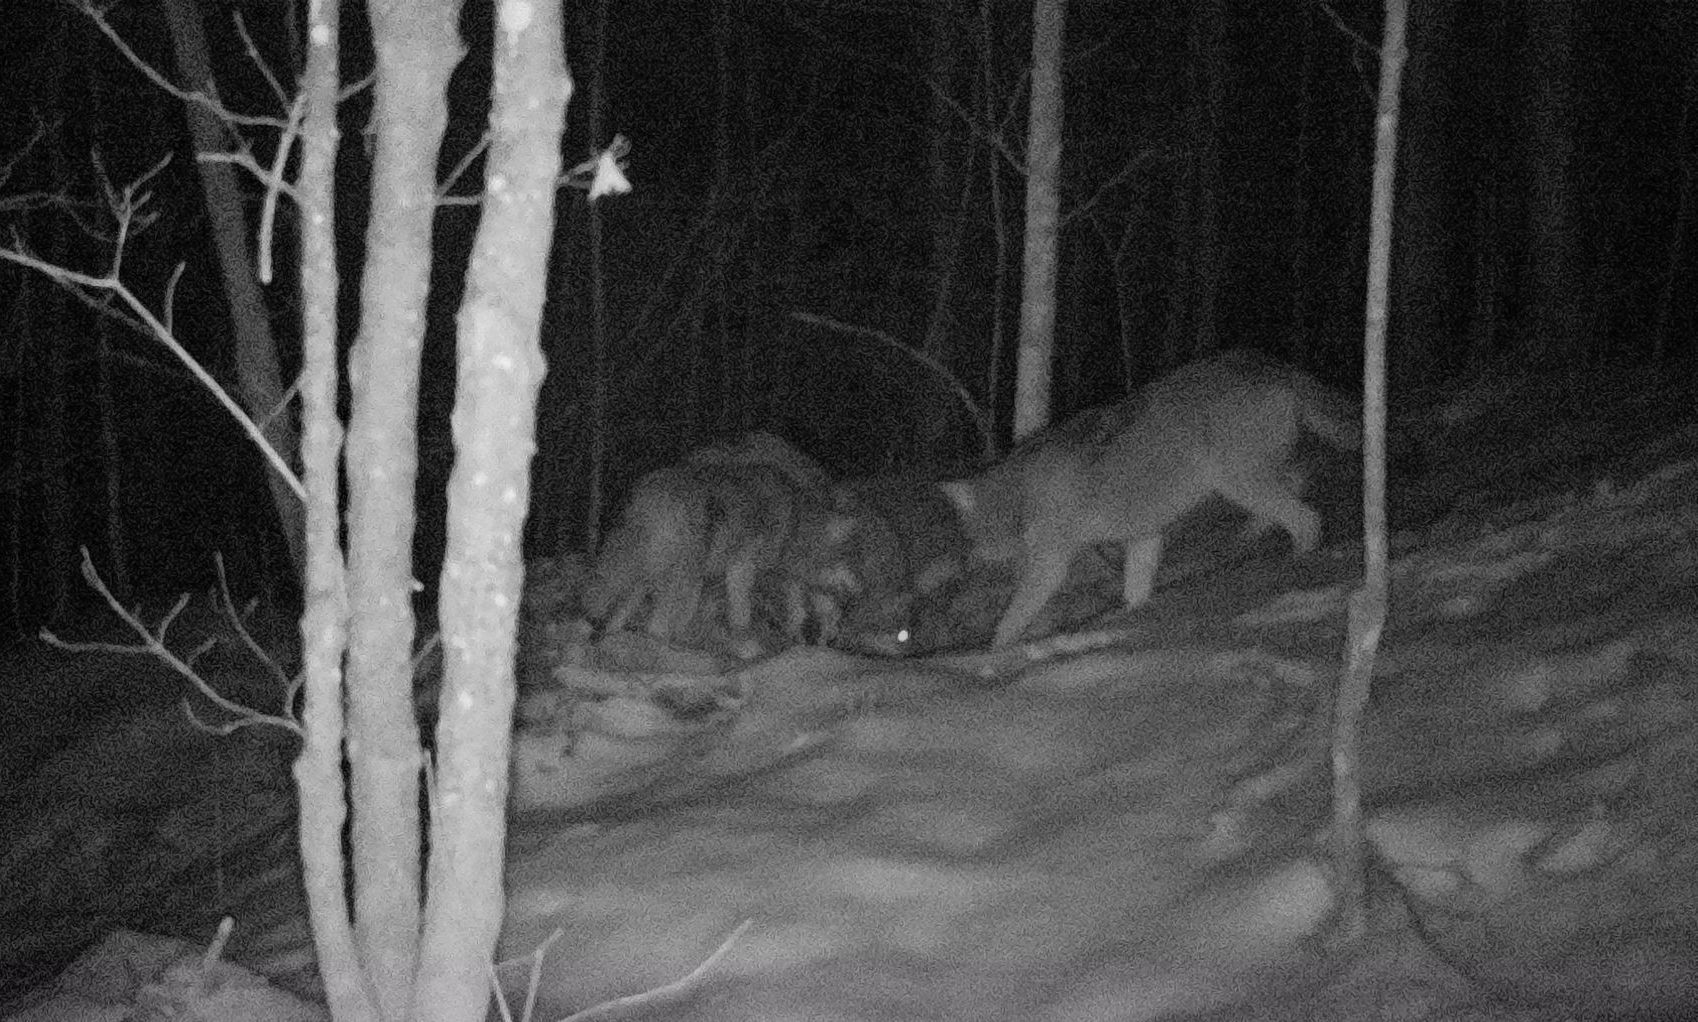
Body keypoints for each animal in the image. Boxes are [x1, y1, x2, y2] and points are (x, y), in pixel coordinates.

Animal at [940, 349, 1362, 647]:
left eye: (969, 537)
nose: (966, 563)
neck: (1023, 490)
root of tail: (1274, 365)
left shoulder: (1051, 563)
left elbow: (1012, 619)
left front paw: (991, 654)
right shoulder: (1144, 535)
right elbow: (1135, 593)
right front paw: (1129, 623)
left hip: (1239, 481)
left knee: (1306, 518)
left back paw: (1295, 562)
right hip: (1252, 478)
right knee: (1298, 486)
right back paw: (1253, 536)